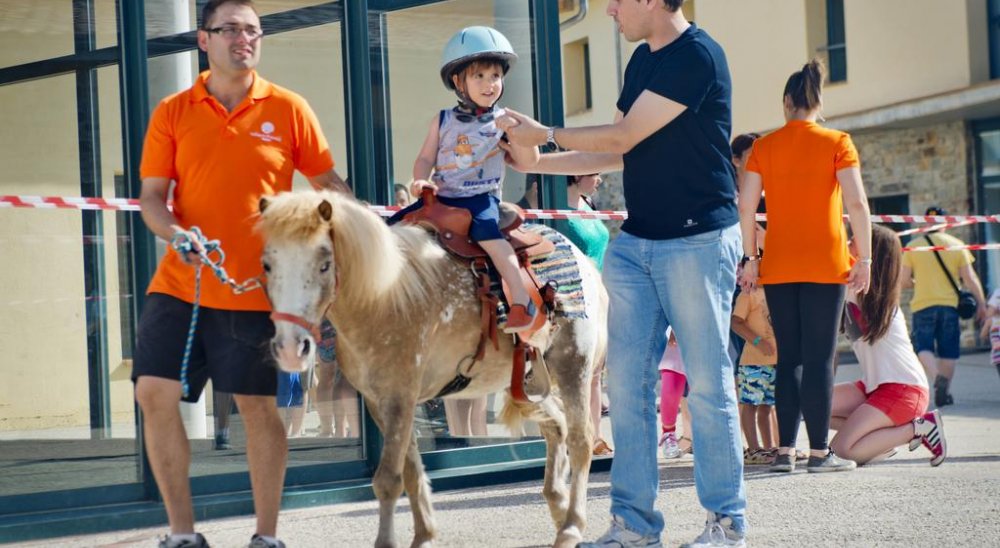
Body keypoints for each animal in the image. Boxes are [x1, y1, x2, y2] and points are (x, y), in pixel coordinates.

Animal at [254, 189, 604, 548]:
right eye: (268, 265)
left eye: (324, 265)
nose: (290, 347)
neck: (383, 298)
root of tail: (580, 257)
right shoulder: (381, 402)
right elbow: (409, 471)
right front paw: (423, 535)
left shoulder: (400, 398)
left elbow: (388, 479)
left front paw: (388, 541)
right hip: (527, 382)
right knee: (557, 426)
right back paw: (558, 504)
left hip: (573, 363)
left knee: (581, 440)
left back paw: (572, 524)